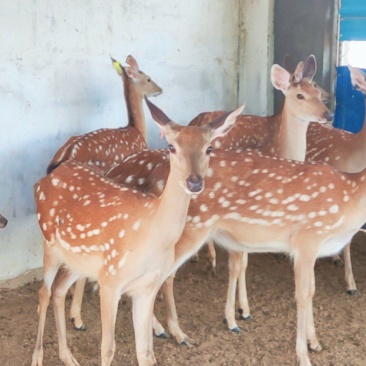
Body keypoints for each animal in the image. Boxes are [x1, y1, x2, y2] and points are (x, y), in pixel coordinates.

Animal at [31, 98, 243, 366]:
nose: (194, 182)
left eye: (209, 148)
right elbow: (107, 348)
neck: (151, 234)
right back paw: (38, 357)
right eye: (171, 147)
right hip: (49, 244)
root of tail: (43, 180)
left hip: (77, 261)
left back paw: (68, 357)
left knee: (59, 291)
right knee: (44, 293)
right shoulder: (110, 280)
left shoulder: (146, 286)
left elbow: (145, 351)